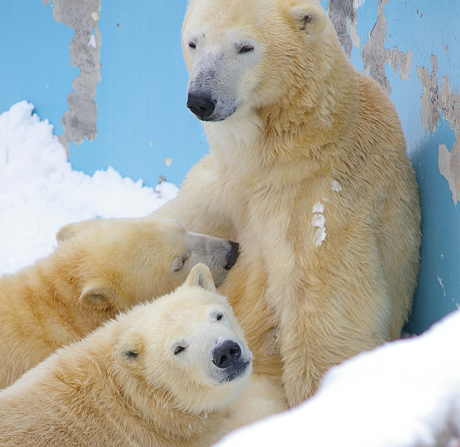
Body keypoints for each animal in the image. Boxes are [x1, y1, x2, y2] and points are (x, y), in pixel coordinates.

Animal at [153, 0, 422, 408]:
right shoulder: (225, 183)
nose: (201, 99)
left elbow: (326, 306)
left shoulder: (320, 194)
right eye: (193, 42)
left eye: (244, 47)